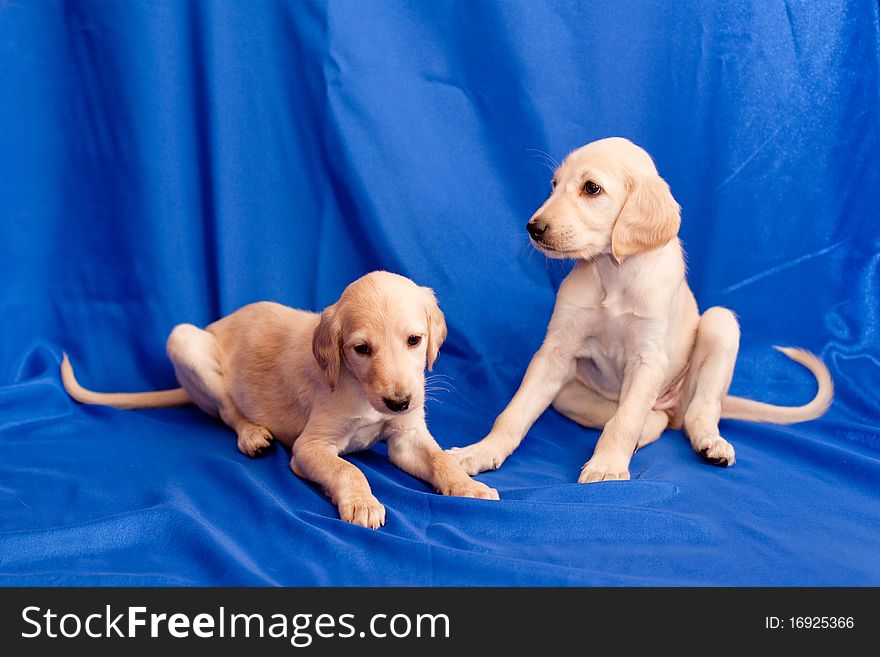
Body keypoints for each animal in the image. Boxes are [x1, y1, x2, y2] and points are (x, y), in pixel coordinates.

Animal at [63, 272, 496, 528]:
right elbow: (347, 470)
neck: (358, 390)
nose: (400, 402)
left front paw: (466, 486)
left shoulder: (405, 438)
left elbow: (439, 458)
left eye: (414, 340)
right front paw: (362, 502)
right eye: (361, 349)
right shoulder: (310, 446)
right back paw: (252, 434)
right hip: (185, 341)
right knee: (228, 411)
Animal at [454, 136, 832, 480]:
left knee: (697, 412)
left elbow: (625, 421)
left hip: (718, 326)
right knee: (651, 418)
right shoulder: (555, 353)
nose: (533, 227)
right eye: (554, 184)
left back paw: (710, 443)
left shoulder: (648, 360)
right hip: (567, 393)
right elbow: (514, 412)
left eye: (591, 188)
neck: (614, 273)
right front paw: (482, 451)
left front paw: (607, 466)